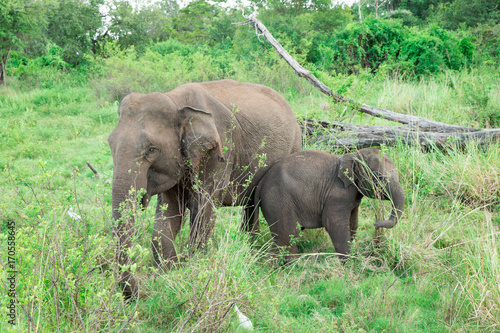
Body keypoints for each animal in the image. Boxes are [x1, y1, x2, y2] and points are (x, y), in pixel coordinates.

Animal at [108, 79, 300, 296]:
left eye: (151, 149)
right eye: (110, 144)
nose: (137, 293)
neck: (176, 101)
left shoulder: (220, 149)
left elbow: (203, 208)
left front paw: (194, 266)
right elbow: (168, 213)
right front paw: (168, 272)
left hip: (295, 143)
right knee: (250, 203)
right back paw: (249, 244)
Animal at [244, 148, 404, 256]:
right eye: (379, 178)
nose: (375, 224)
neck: (353, 155)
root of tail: (260, 184)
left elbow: (353, 223)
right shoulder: (337, 195)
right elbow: (334, 224)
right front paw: (349, 264)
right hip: (278, 200)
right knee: (288, 235)